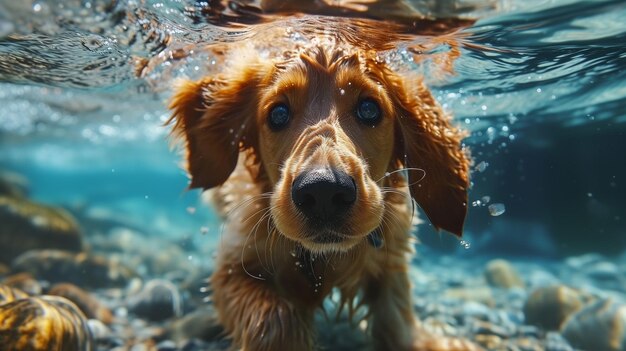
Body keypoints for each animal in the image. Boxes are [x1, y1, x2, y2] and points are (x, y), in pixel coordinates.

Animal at [166, 35, 472, 350]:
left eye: (369, 109)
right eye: (278, 113)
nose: (324, 191)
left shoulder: (391, 257)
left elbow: (397, 319)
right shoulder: (234, 264)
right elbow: (275, 321)